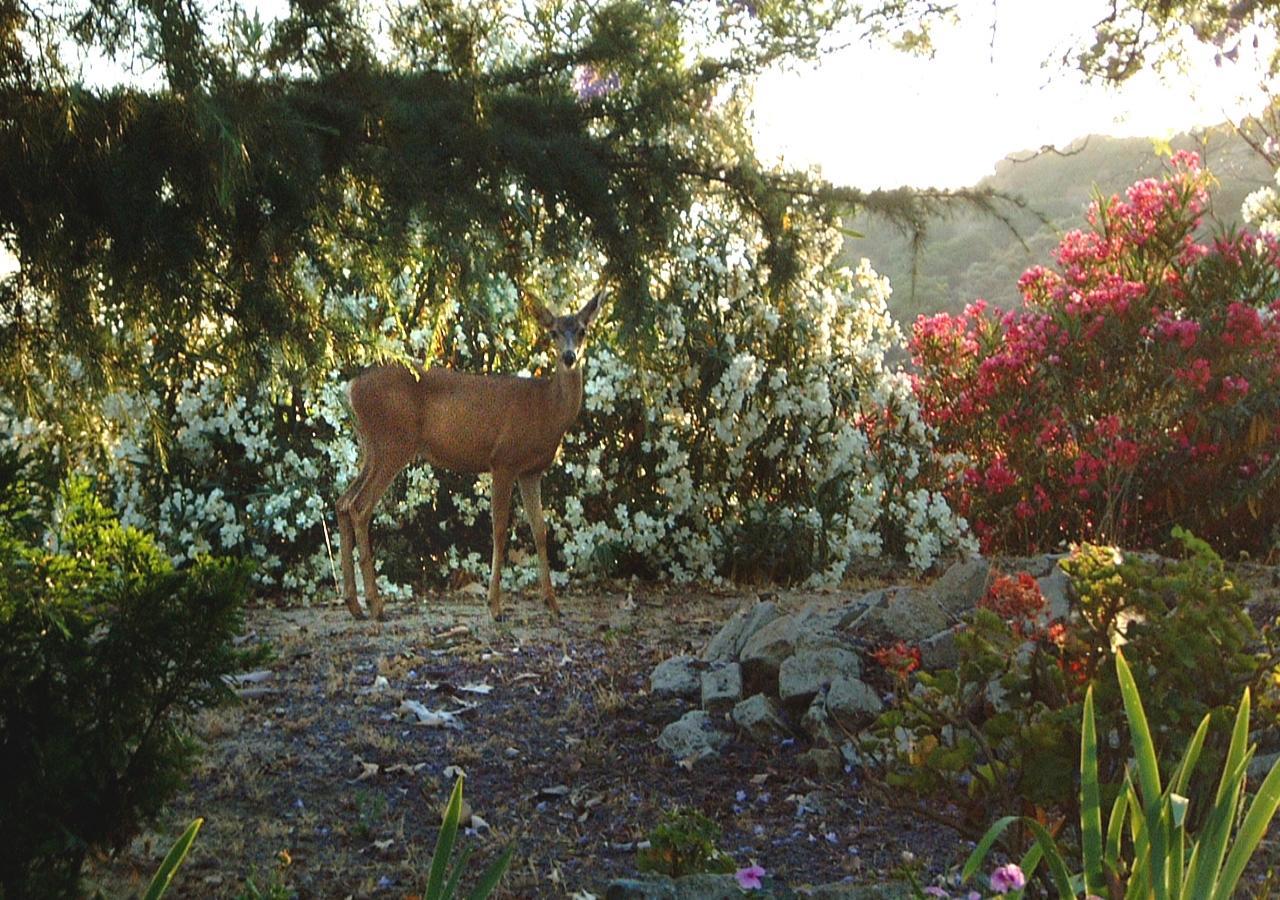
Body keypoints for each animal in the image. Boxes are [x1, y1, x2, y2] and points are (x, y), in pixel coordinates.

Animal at [335, 291, 604, 622]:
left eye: (582, 330)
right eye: (553, 332)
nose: (569, 357)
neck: (547, 410)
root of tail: (352, 387)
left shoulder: (532, 471)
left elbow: (540, 530)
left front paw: (553, 604)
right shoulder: (503, 460)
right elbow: (499, 529)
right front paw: (495, 606)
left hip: (370, 446)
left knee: (343, 502)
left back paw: (355, 604)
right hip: (393, 442)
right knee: (359, 507)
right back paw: (376, 605)